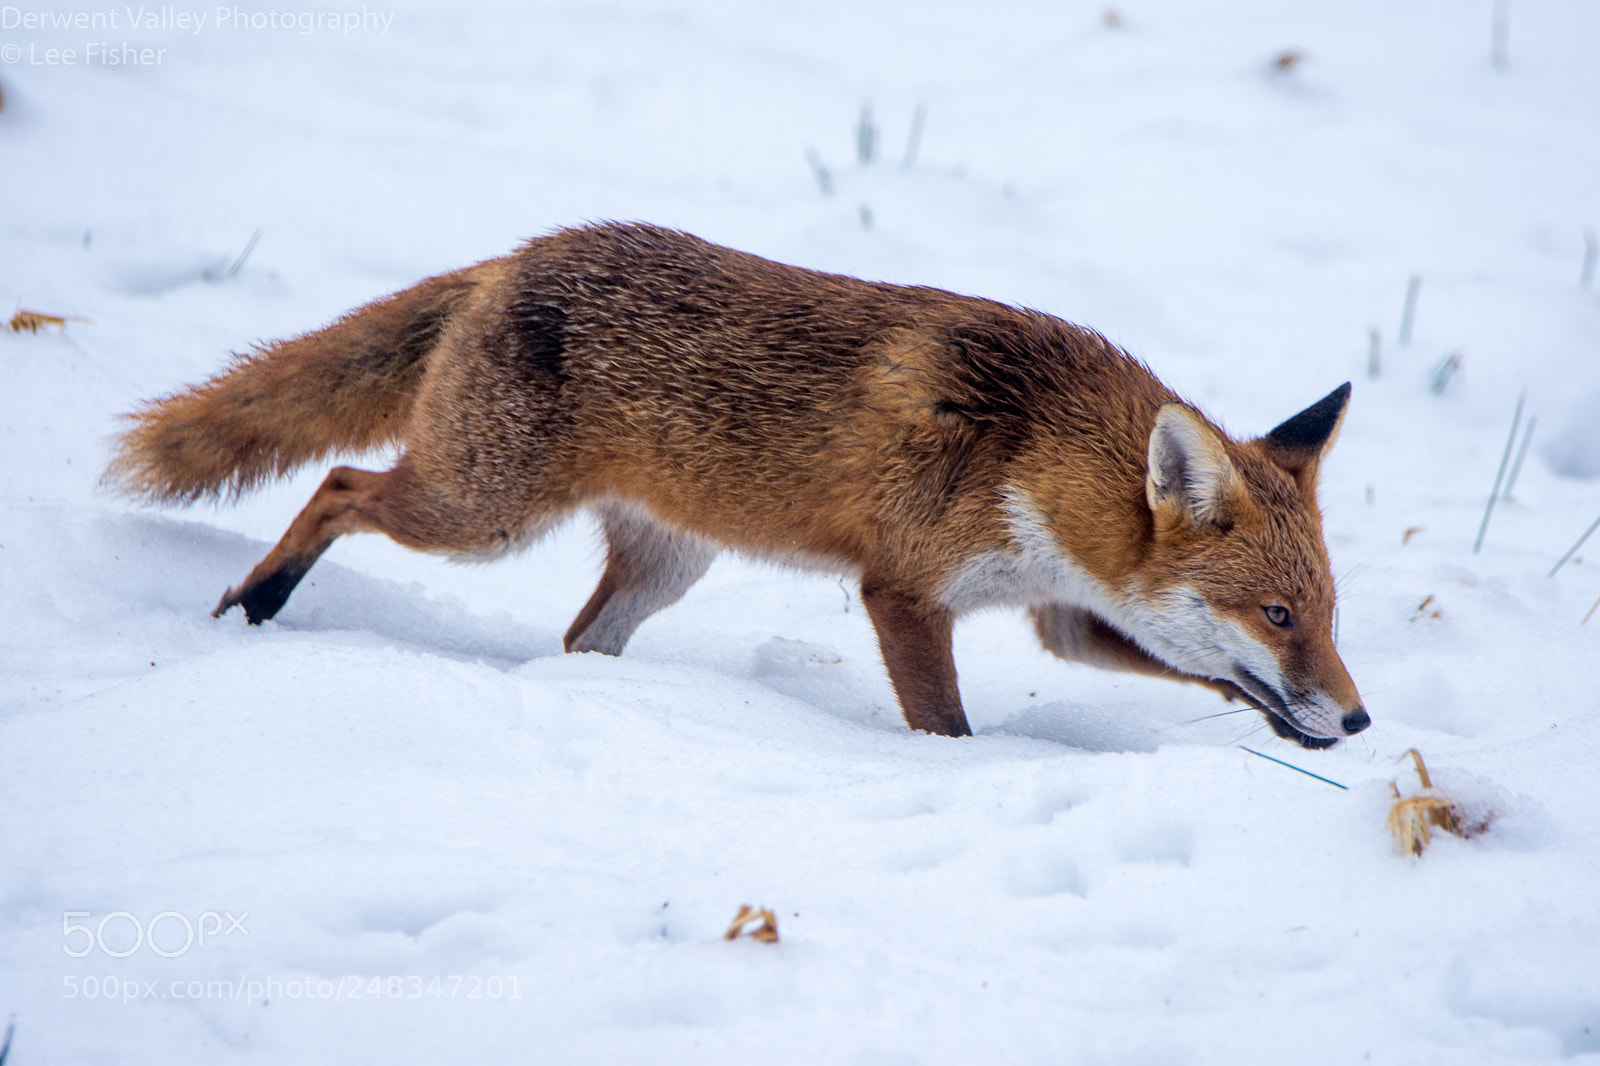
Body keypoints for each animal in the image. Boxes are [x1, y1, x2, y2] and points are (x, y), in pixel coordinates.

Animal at [106, 222, 1368, 748]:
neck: (1033, 452)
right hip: (477, 515)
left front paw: (1289, 725)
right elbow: (947, 723)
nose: (1360, 716)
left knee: (575, 639)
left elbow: (1191, 668)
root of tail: (515, 255)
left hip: (661, 567)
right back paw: (257, 601)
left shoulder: (1062, 611)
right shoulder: (903, 592)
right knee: (336, 480)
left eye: (1324, 614)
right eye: (1277, 611)